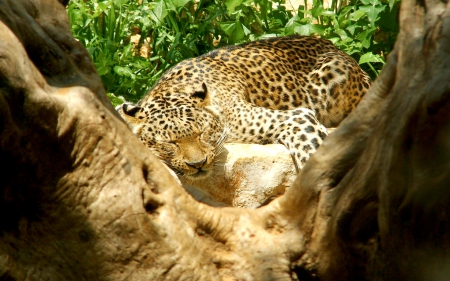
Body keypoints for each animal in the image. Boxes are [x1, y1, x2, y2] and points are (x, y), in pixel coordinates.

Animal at [115, 35, 370, 179]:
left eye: (202, 133)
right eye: (170, 143)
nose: (197, 165)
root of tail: (332, 44)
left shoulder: (297, 116)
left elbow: (312, 149)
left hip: (335, 73)